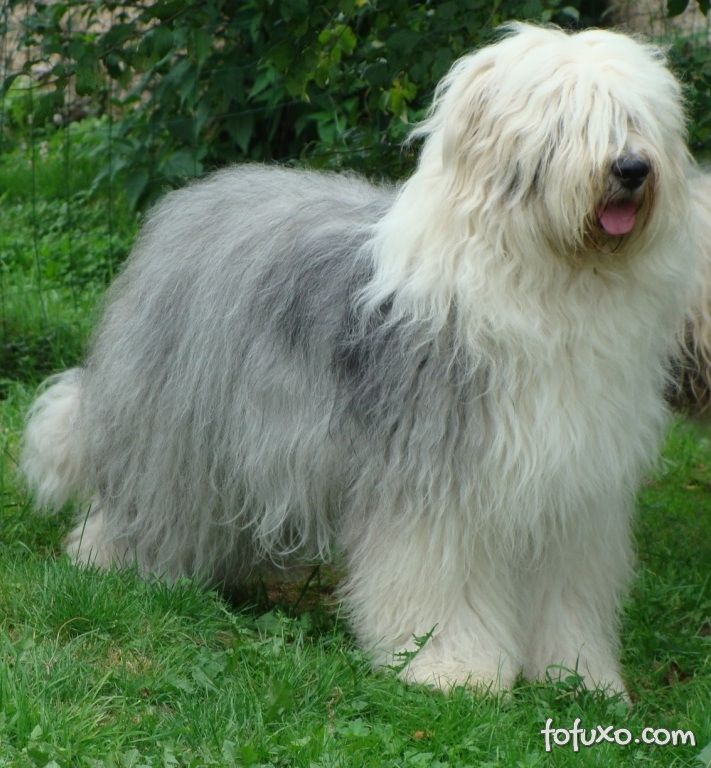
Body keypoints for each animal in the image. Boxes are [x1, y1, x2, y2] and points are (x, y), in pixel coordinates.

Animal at [22, 25, 696, 696]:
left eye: (634, 120)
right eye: (563, 122)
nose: (632, 168)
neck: (552, 284)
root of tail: (195, 197)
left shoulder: (573, 492)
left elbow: (565, 594)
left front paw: (579, 676)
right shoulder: (437, 482)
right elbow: (441, 579)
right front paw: (451, 668)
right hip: (176, 430)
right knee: (142, 500)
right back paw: (109, 561)